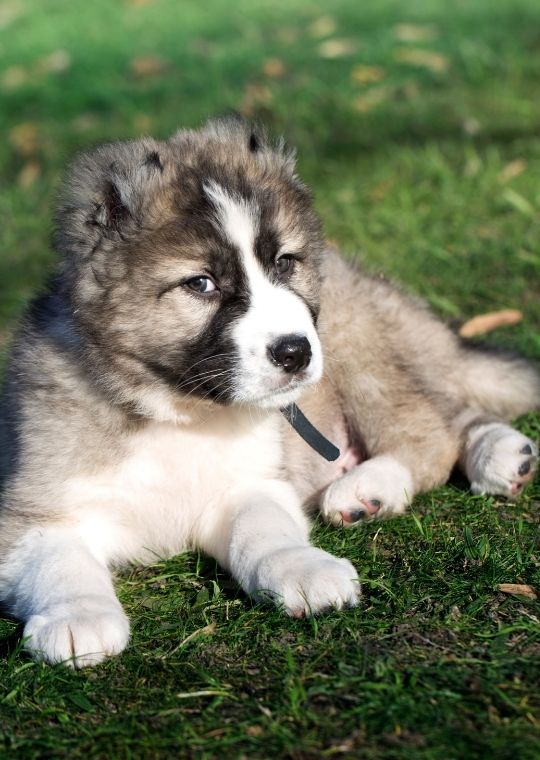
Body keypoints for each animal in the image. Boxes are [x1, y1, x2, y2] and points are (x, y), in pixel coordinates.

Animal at [0, 118, 538, 667]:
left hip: (360, 348)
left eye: (284, 263)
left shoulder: (253, 483)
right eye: (201, 283)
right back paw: (499, 455)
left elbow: (262, 529)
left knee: (433, 431)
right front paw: (77, 616)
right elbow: (59, 560)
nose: (295, 352)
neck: (177, 410)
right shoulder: (33, 513)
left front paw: (303, 568)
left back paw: (375, 486)